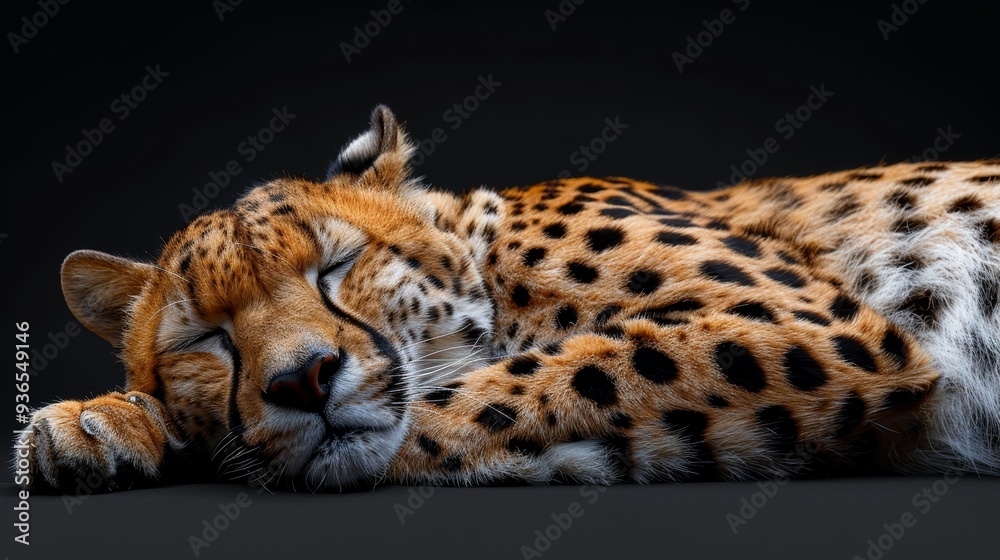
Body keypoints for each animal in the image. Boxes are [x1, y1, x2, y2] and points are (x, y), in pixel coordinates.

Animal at [18, 105, 1000, 492]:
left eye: (336, 267)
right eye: (208, 339)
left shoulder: (817, 326)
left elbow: (503, 393)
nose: (304, 380)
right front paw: (104, 422)